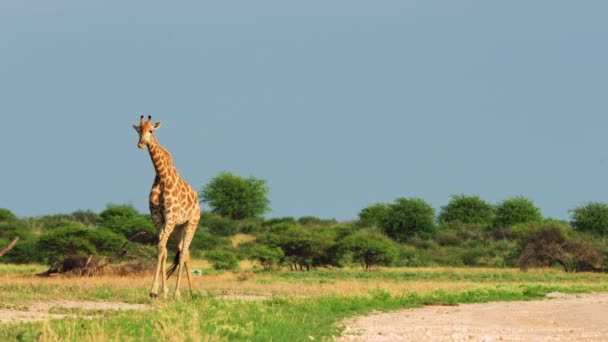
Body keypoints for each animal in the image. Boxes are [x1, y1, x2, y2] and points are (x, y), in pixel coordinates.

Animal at [132, 113, 200, 298]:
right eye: (139, 130)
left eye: (151, 130)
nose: (141, 144)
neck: (162, 177)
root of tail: (198, 203)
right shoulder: (158, 218)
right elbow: (161, 249)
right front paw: (159, 291)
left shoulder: (170, 218)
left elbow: (162, 247)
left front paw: (160, 291)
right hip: (179, 227)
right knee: (185, 251)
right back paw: (192, 291)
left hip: (192, 222)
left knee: (183, 253)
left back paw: (179, 293)